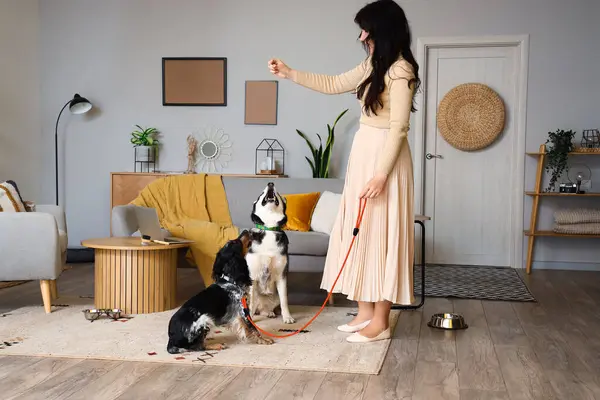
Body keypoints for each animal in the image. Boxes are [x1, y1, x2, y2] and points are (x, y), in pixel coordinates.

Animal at [246, 183, 296, 324]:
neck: (268, 228)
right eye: (261, 194)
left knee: (266, 309)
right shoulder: (252, 276)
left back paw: (269, 313)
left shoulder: (282, 275)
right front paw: (249, 320)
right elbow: (251, 302)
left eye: (278, 193)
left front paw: (287, 317)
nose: (270, 184)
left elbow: (284, 299)